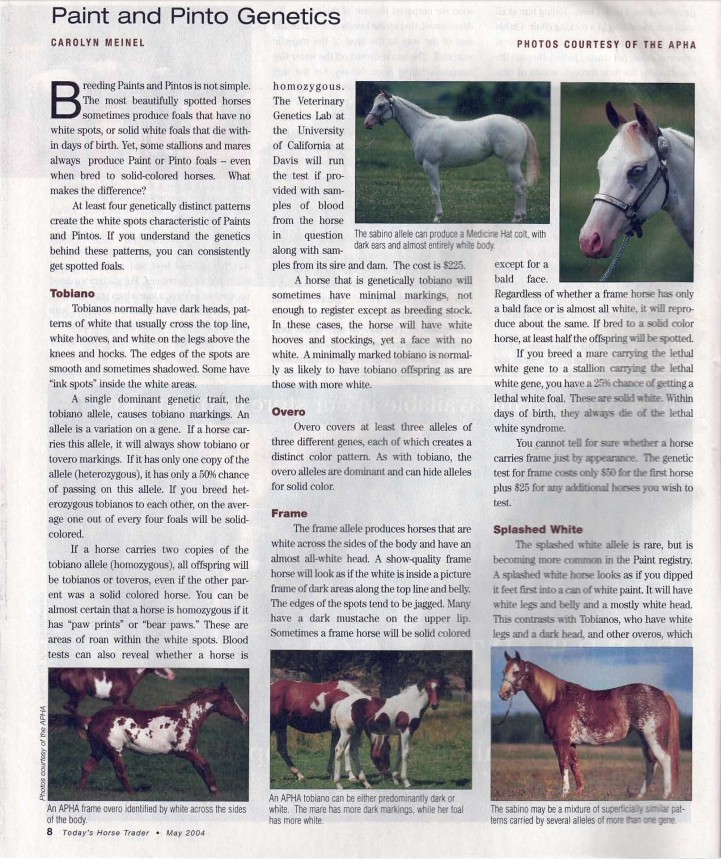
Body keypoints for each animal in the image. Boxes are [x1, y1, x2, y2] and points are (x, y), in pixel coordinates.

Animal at [77, 684, 248, 795]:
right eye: (230, 699)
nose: (245, 717)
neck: (188, 718)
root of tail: (92, 719)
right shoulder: (183, 750)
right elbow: (205, 764)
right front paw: (214, 790)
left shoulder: (192, 750)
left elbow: (201, 768)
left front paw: (214, 793)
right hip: (114, 751)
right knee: (121, 774)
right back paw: (132, 795)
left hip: (99, 751)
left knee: (86, 767)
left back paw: (80, 792)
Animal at [363, 90, 539, 223]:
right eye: (374, 103)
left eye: (381, 105)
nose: (367, 123)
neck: (422, 126)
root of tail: (517, 123)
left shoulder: (431, 165)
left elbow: (435, 191)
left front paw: (437, 217)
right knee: (522, 186)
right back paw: (522, 216)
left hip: (511, 164)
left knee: (519, 187)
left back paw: (516, 218)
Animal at [498, 651, 680, 799]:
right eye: (503, 671)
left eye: (516, 672)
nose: (502, 694)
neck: (556, 699)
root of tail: (662, 693)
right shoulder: (571, 742)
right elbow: (574, 765)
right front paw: (579, 793)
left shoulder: (560, 741)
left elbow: (563, 764)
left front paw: (564, 793)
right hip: (644, 738)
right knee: (651, 763)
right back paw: (641, 795)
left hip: (652, 737)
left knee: (664, 760)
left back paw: (665, 795)